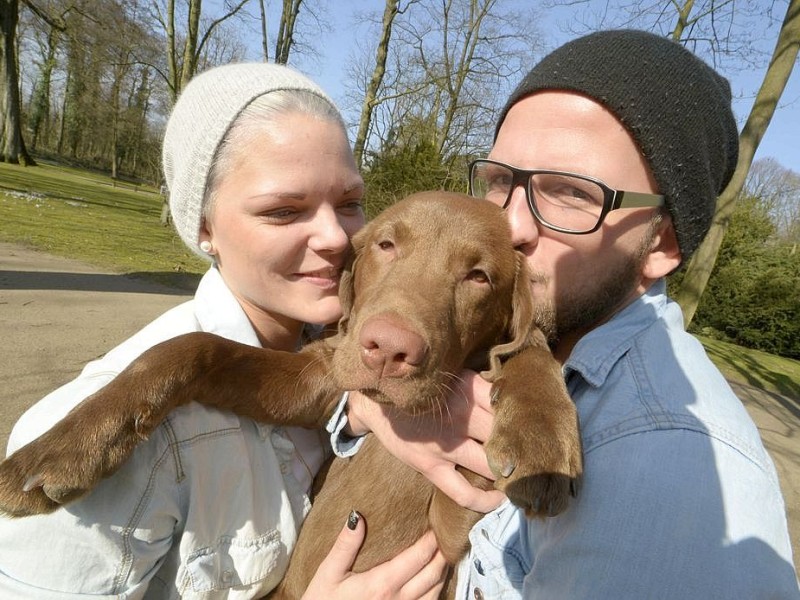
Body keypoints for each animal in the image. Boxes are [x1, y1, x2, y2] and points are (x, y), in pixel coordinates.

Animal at [0, 191, 580, 596]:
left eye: (479, 277)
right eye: (387, 245)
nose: (388, 350)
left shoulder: (451, 524)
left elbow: (529, 349)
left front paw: (540, 442)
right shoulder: (322, 372)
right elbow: (193, 347)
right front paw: (59, 449)